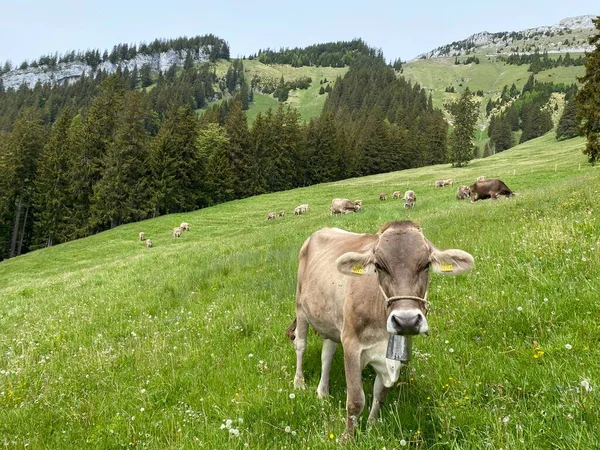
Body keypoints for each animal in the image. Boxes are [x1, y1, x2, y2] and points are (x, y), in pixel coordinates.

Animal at [288, 221, 476, 440]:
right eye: (379, 266)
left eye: (425, 265)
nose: (406, 321)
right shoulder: (351, 345)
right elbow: (356, 400)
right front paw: (347, 438)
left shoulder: (392, 354)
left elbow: (380, 394)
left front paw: (372, 427)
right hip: (300, 306)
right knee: (300, 345)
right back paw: (299, 383)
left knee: (327, 354)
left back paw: (323, 392)